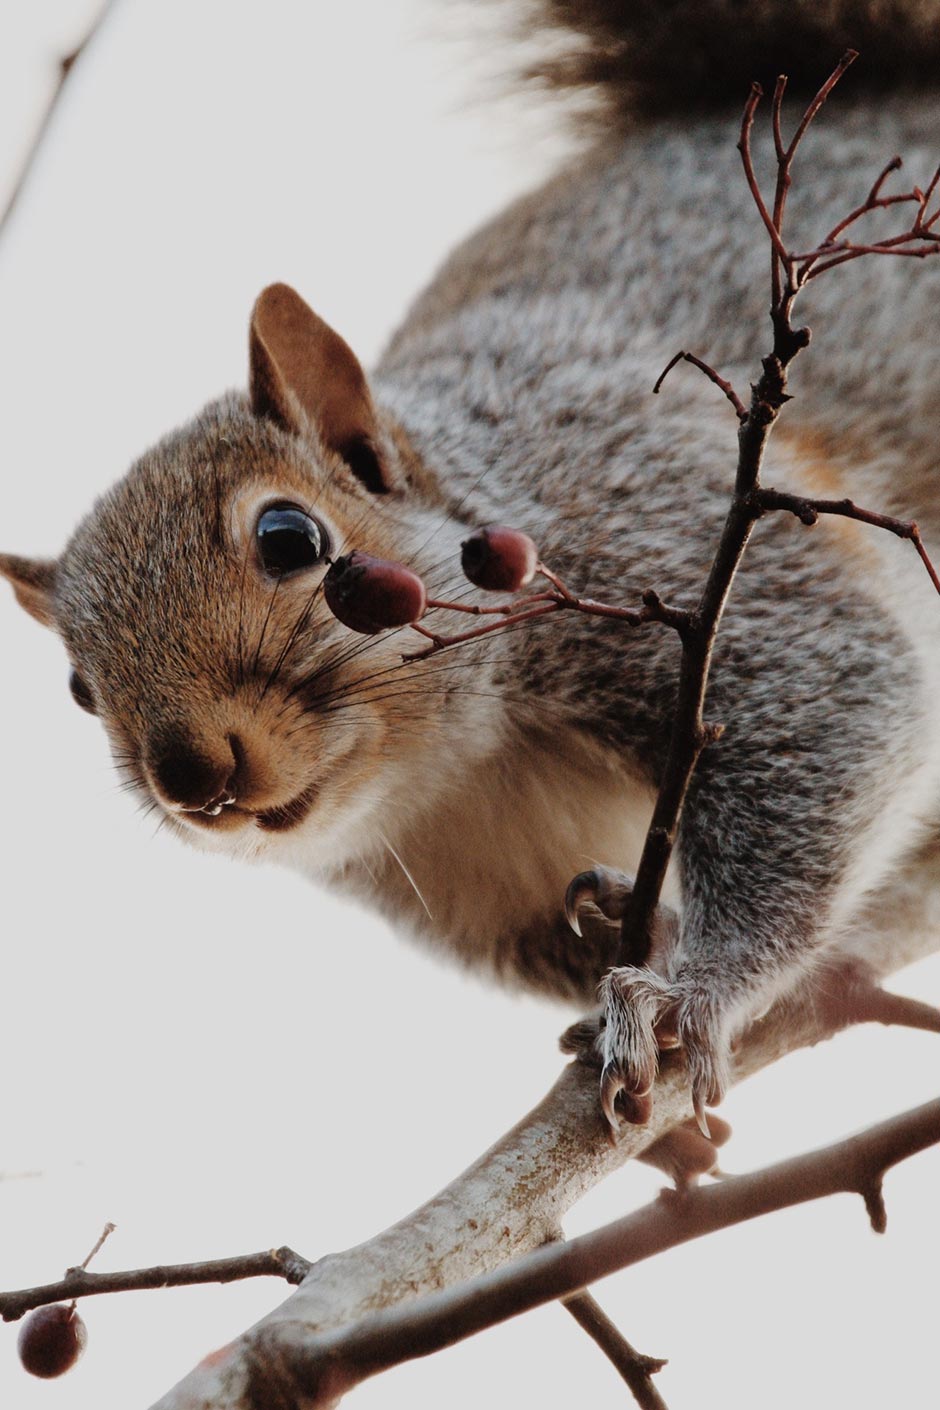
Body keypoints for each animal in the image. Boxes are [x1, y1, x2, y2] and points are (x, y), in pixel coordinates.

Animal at [5, 2, 940, 1133]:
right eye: (76, 688)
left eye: (290, 539)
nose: (193, 777)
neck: (463, 767)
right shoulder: (474, 893)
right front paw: (647, 950)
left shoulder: (672, 538)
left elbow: (834, 706)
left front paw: (690, 993)